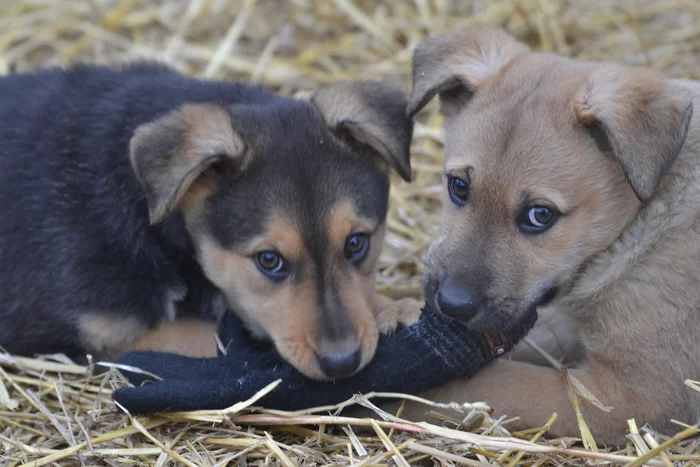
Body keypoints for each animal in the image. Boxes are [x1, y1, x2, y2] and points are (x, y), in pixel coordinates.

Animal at [0, 63, 422, 380]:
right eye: (269, 260)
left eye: (356, 243)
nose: (342, 363)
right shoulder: (99, 333)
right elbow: (211, 342)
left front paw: (396, 308)